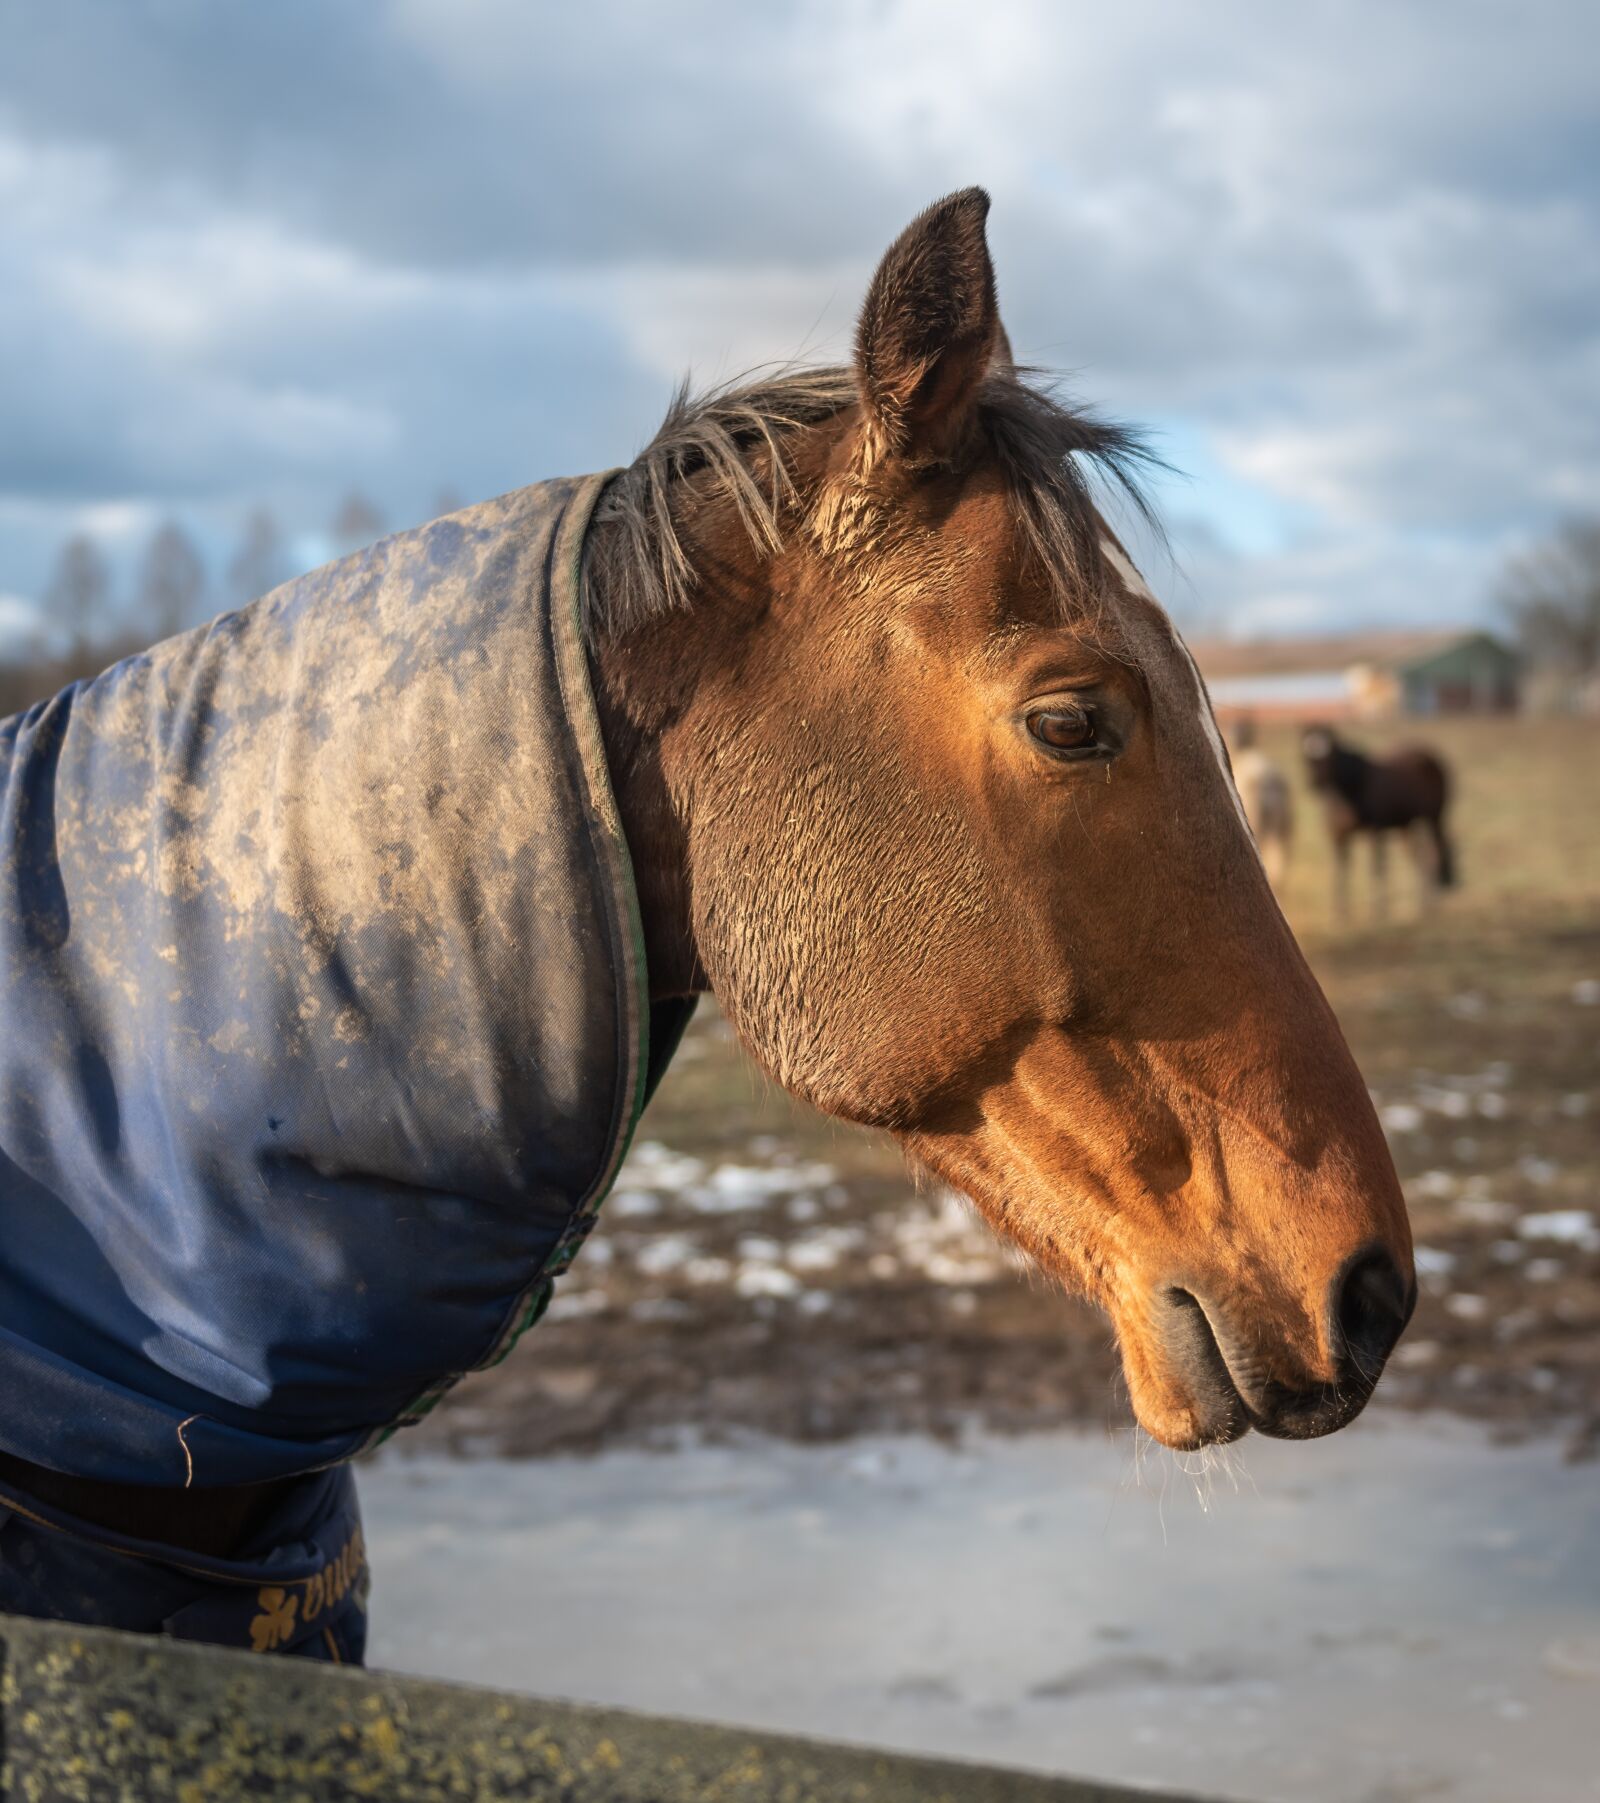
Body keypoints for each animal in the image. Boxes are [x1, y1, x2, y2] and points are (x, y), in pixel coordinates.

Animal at [1301, 724, 1456, 920]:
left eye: (1331, 754)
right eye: (1304, 754)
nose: (1314, 782)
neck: (1351, 788)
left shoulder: (1376, 831)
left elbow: (1376, 868)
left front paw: (1379, 911)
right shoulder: (1338, 835)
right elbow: (1340, 869)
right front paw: (1340, 912)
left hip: (1435, 817)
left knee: (1435, 850)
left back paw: (1432, 903)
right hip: (1406, 825)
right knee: (1419, 856)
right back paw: (1421, 905)